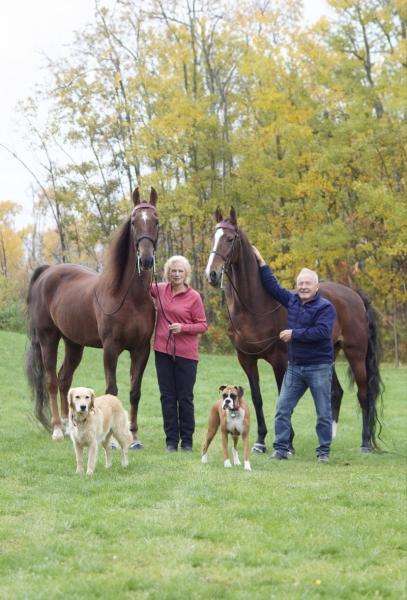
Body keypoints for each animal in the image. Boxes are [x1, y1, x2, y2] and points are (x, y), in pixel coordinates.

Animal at [26, 188, 159, 446]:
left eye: (156, 221)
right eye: (134, 222)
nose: (146, 259)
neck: (130, 298)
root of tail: (46, 272)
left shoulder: (141, 349)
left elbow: (135, 392)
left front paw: (134, 435)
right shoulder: (110, 348)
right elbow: (112, 390)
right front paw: (114, 439)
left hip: (74, 344)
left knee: (64, 379)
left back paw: (68, 426)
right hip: (49, 339)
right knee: (51, 381)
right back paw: (57, 429)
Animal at [206, 209, 384, 452]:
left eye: (230, 239)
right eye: (213, 237)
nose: (212, 275)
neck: (255, 306)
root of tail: (355, 295)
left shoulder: (280, 360)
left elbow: (284, 397)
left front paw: (287, 442)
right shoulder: (246, 359)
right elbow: (256, 398)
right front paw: (260, 441)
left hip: (355, 354)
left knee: (364, 394)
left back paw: (365, 442)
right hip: (328, 355)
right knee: (335, 392)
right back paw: (329, 437)